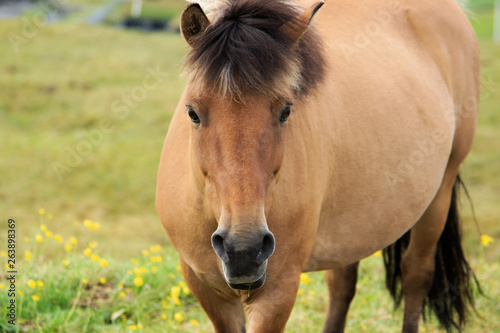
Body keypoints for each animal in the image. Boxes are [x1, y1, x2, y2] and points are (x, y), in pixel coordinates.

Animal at [157, 0, 480, 330]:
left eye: (286, 111)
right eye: (192, 112)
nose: (243, 249)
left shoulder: (278, 290)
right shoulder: (205, 287)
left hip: (439, 194)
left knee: (416, 274)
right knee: (342, 282)